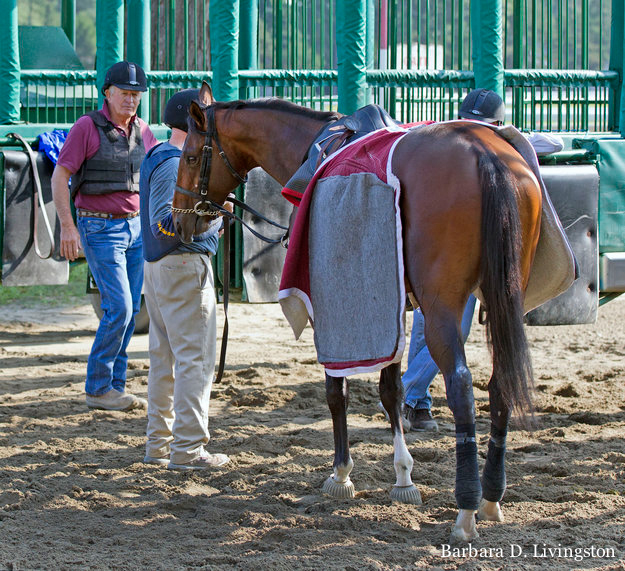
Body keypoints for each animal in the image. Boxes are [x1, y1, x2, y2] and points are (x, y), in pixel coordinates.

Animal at [171, 81, 540, 544]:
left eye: (189, 155)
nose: (179, 221)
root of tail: (482, 152)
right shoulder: (393, 305)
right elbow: (391, 389)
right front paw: (403, 477)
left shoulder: (331, 306)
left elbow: (337, 392)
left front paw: (341, 474)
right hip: (503, 298)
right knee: (500, 381)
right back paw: (491, 497)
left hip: (443, 307)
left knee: (461, 386)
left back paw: (466, 510)